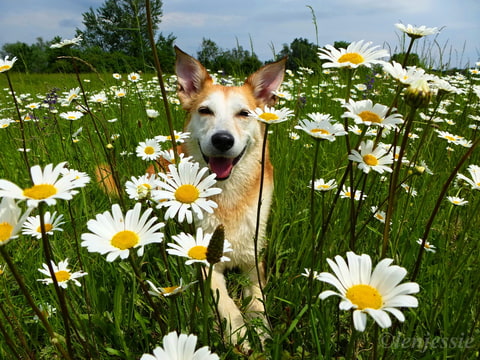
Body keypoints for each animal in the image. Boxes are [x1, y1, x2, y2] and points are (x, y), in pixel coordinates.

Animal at [174, 46, 284, 344]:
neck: (227, 195)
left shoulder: (254, 261)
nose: (223, 140)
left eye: (244, 114)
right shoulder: (206, 263)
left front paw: (261, 329)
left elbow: (258, 299)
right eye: (205, 110)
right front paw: (239, 333)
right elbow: (226, 303)